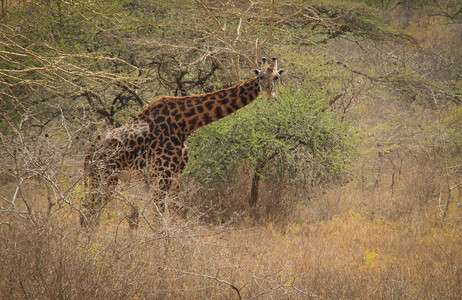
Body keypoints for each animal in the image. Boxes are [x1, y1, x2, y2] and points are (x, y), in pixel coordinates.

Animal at [82, 56, 286, 227]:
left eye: (276, 77)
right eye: (260, 76)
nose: (270, 93)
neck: (186, 124)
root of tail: (91, 149)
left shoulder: (176, 174)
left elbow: (177, 213)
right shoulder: (161, 172)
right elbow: (159, 217)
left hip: (98, 177)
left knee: (89, 211)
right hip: (106, 176)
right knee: (91, 211)